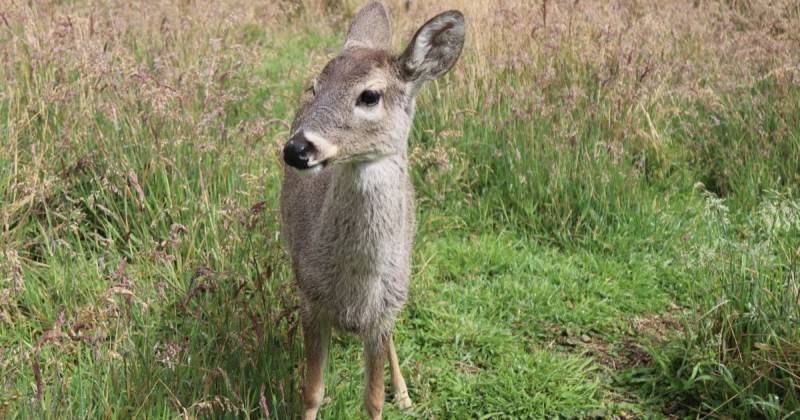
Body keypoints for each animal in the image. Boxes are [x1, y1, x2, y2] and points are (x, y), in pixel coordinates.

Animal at [282, 3, 466, 420]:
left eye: (369, 95)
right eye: (315, 87)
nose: (297, 149)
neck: (352, 285)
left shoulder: (383, 311)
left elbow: (373, 397)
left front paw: (394, 394)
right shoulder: (310, 297)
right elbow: (312, 391)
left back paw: (405, 393)